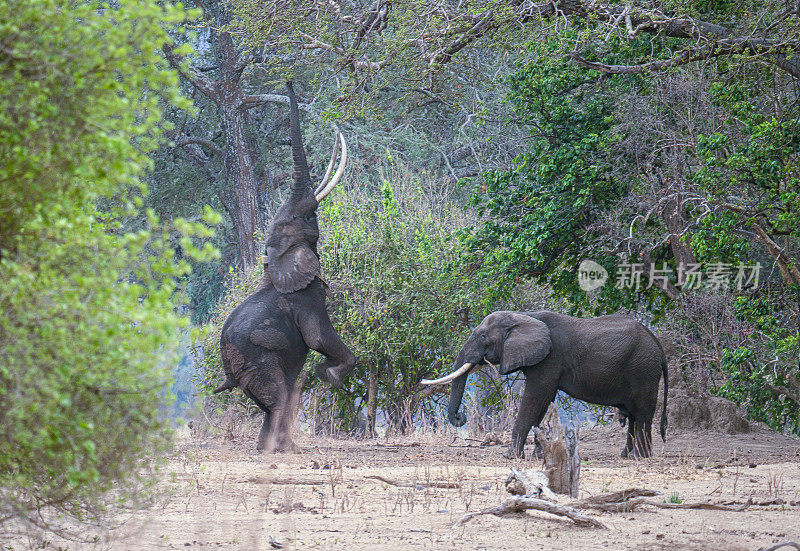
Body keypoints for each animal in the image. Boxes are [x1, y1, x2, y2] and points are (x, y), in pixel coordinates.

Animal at [216, 81, 360, 452]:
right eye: (306, 217)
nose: (288, 82)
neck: (276, 260)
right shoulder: (307, 298)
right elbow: (318, 336)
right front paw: (329, 375)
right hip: (256, 361)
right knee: (280, 396)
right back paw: (281, 450)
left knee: (276, 400)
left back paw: (273, 447)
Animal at [424, 312, 668, 460]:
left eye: (483, 336)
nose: (460, 417)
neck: (523, 316)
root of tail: (657, 343)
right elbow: (542, 402)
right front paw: (537, 457)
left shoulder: (550, 359)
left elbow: (536, 397)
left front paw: (511, 457)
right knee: (634, 414)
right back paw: (627, 455)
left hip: (642, 369)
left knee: (642, 412)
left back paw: (641, 456)